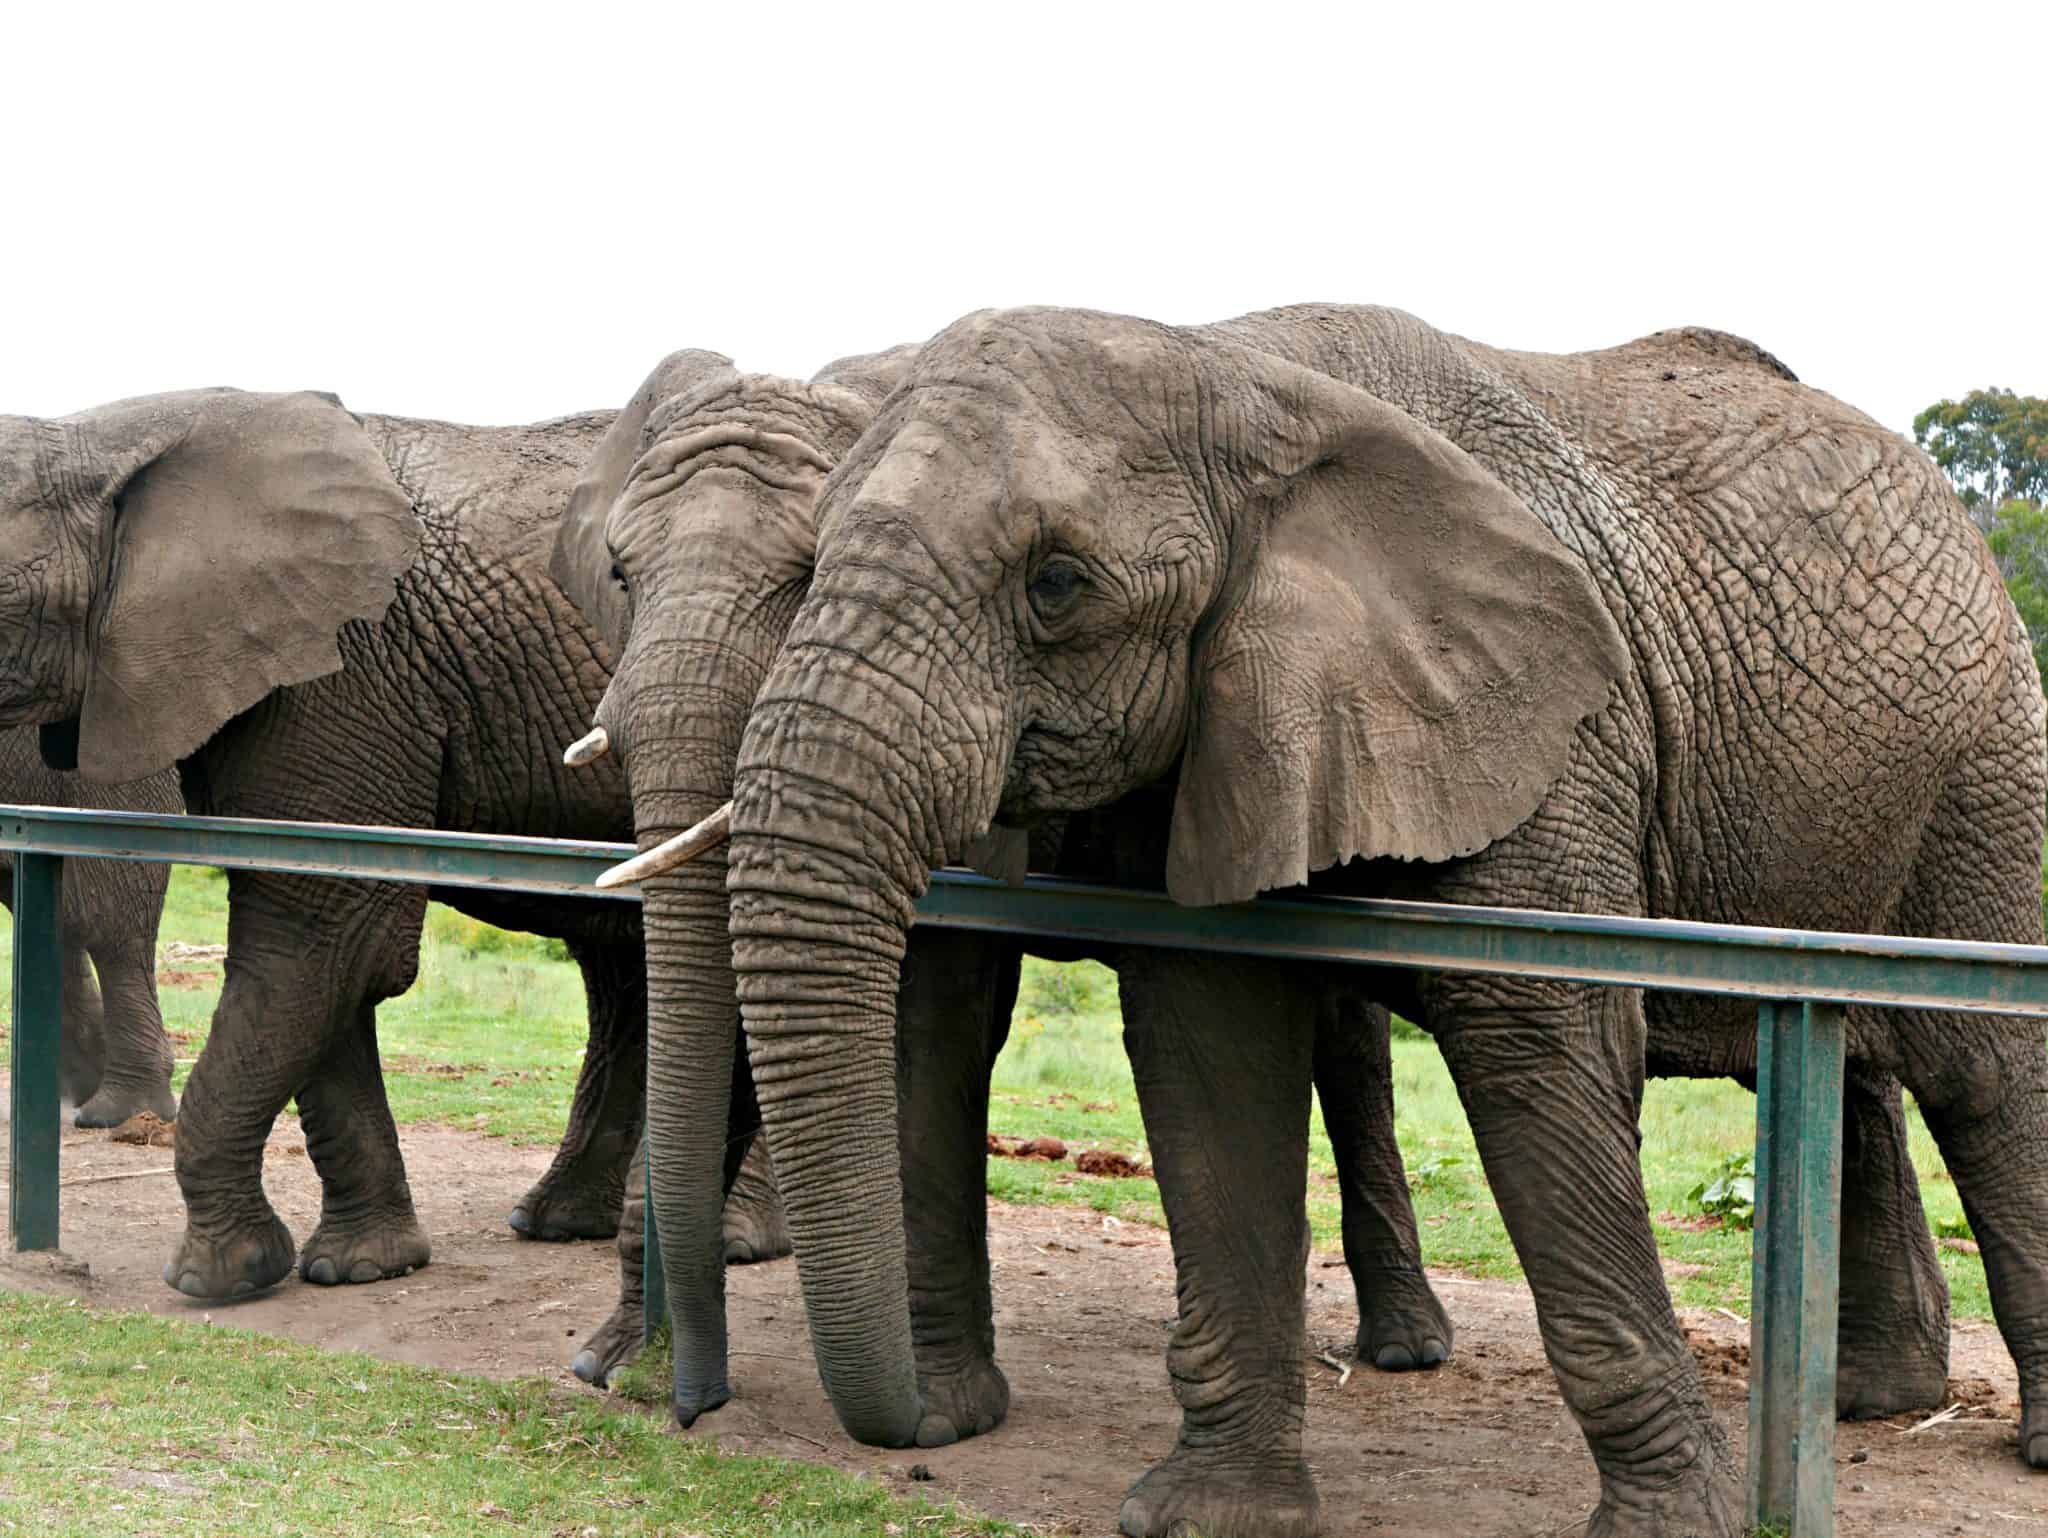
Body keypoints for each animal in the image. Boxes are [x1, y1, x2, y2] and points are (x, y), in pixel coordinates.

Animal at [548, 345, 1455, 1414]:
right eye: (619, 575)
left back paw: (1404, 1347)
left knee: (1350, 1031)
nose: (695, 1400)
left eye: (807, 574)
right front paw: (607, 1366)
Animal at [702, 302, 2046, 1538]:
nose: (910, 1432)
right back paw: (1876, 1401)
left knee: (1980, 1074)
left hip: (1986, 752)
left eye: (1056, 584)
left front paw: (1673, 1526)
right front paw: (1213, 1514)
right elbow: (1211, 1053)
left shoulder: (1546, 717)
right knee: (1863, 1061)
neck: (1233, 373)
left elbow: (1538, 1045)